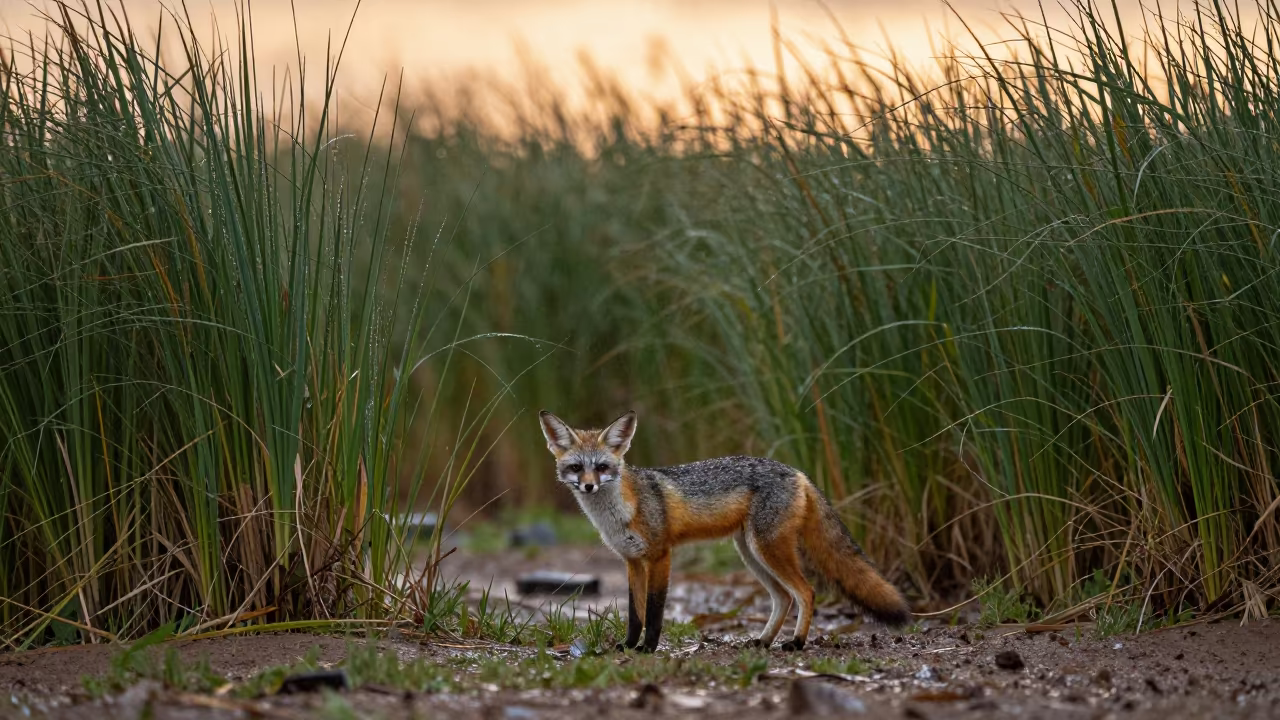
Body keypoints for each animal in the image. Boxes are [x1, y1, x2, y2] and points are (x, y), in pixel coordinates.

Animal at [538, 409, 910, 653]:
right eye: (576, 468)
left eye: (602, 467)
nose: (588, 486)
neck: (620, 511)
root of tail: (798, 472)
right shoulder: (632, 561)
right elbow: (635, 613)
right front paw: (629, 646)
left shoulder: (660, 556)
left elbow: (655, 611)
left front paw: (648, 648)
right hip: (751, 554)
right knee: (784, 597)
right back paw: (763, 641)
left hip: (767, 550)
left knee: (805, 592)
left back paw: (797, 642)